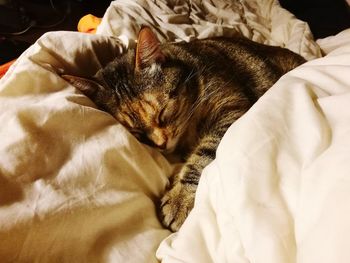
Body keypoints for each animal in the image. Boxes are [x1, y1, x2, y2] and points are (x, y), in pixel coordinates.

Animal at [62, 25, 304, 232]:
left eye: (162, 113)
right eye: (137, 133)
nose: (161, 144)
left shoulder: (231, 108)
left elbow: (203, 154)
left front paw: (180, 198)